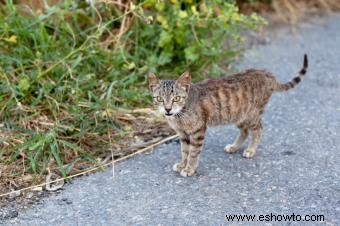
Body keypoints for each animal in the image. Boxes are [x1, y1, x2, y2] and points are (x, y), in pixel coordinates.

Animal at [147, 54, 306, 177]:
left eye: (176, 98)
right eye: (160, 99)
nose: (168, 109)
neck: (179, 116)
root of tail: (266, 73)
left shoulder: (198, 131)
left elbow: (193, 153)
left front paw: (189, 169)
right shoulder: (183, 134)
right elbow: (184, 151)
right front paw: (182, 164)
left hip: (251, 115)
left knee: (258, 129)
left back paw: (251, 150)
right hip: (239, 116)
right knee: (245, 131)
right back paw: (234, 147)